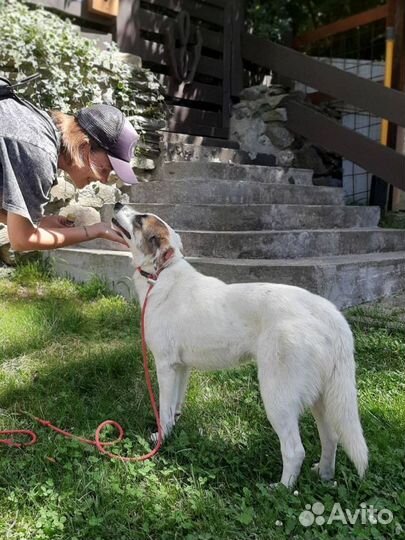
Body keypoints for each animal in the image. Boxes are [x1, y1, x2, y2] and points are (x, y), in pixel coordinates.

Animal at [112, 204, 368, 490]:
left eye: (139, 219)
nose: (118, 204)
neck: (161, 275)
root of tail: (329, 313)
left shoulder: (165, 366)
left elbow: (164, 410)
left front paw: (160, 441)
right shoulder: (181, 368)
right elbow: (175, 407)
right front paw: (170, 434)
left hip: (277, 395)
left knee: (294, 450)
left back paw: (280, 489)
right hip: (321, 397)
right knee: (332, 437)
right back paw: (323, 475)